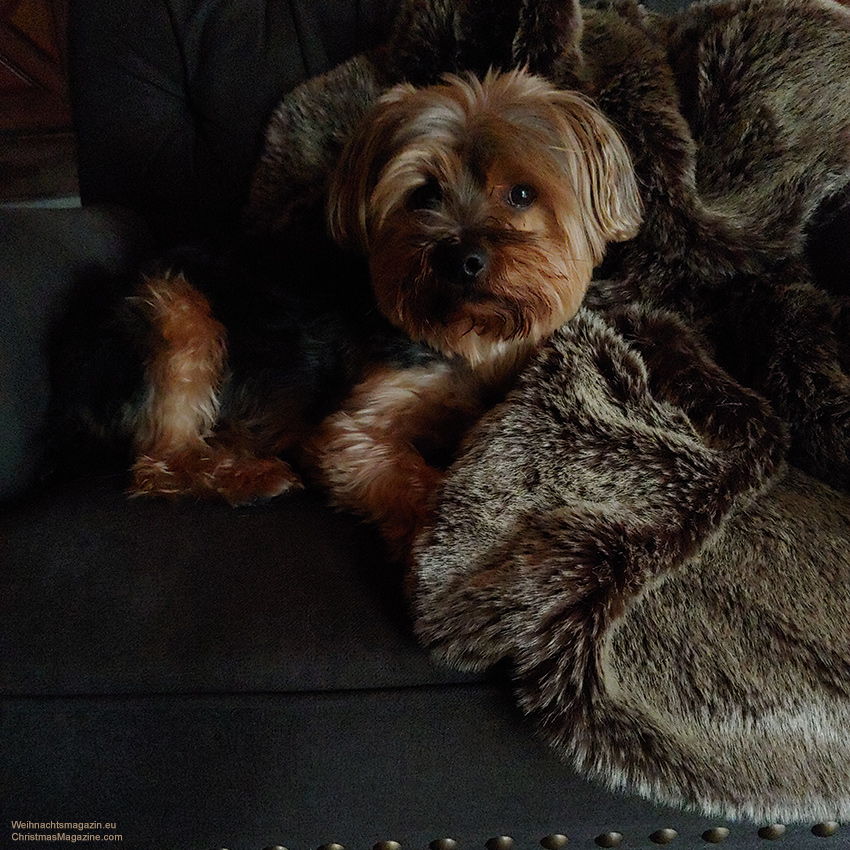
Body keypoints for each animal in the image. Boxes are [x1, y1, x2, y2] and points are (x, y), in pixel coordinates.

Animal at [302, 69, 640, 552]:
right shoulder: (356, 428)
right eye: (424, 194)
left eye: (522, 193)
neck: (477, 337)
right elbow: (399, 471)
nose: (461, 258)